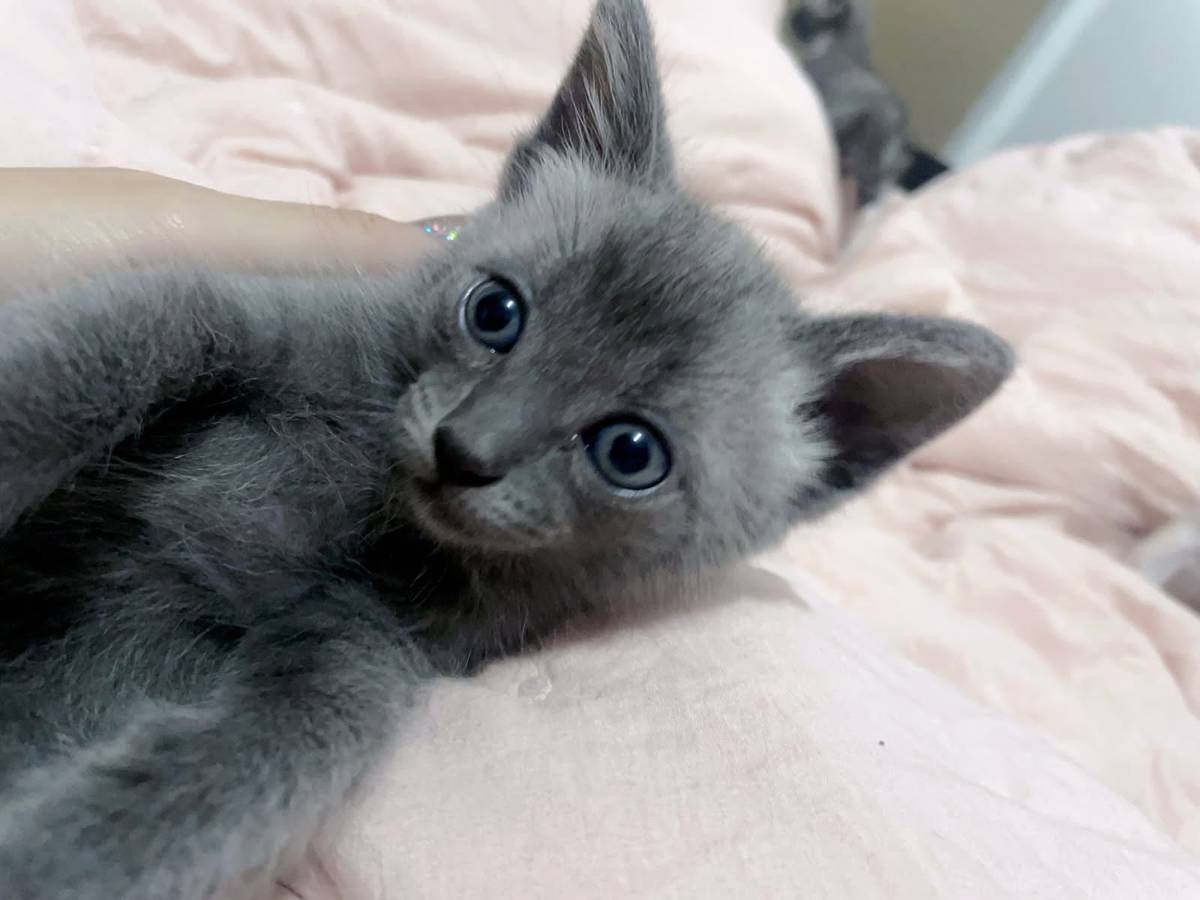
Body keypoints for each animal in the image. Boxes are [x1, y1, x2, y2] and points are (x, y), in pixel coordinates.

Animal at [0, 0, 1012, 897]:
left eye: (630, 452)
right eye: (496, 312)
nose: (463, 448)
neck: (361, 509)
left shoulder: (367, 650)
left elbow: (247, 766)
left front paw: (53, 859)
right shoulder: (249, 315)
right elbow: (138, 334)